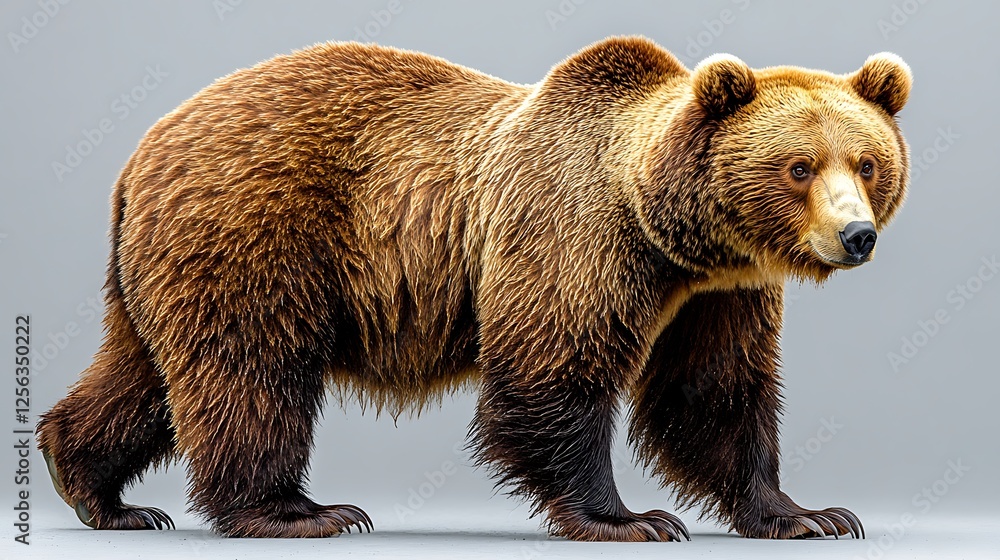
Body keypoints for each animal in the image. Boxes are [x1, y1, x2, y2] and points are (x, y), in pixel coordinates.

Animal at [38, 36, 911, 541]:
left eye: (868, 162)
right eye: (799, 166)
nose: (856, 236)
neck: (669, 232)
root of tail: (144, 150)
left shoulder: (718, 291)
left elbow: (714, 393)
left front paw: (810, 515)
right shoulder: (574, 234)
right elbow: (553, 369)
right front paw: (628, 517)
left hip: (169, 266)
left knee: (144, 376)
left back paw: (100, 492)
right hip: (257, 229)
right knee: (251, 369)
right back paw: (298, 510)